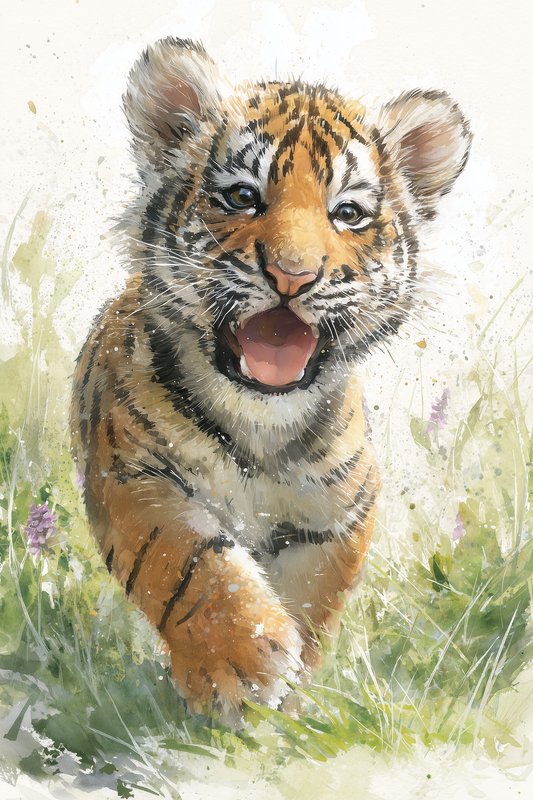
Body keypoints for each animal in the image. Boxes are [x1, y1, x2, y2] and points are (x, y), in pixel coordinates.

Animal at [71, 37, 471, 725]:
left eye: (348, 214)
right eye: (241, 196)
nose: (293, 275)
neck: (260, 419)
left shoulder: (337, 514)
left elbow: (311, 600)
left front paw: (288, 698)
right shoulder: (132, 474)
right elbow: (189, 562)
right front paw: (240, 667)